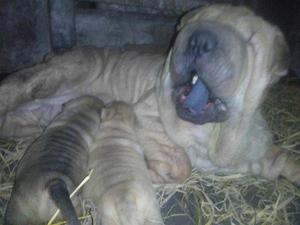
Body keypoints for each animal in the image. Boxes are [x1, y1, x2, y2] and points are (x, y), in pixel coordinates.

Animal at [1, 3, 298, 225]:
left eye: (249, 39)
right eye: (194, 23)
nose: (200, 39)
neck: (215, 134)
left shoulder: (250, 152)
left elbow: (281, 158)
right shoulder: (147, 114)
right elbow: (181, 164)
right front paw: (154, 172)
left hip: (32, 120)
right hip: (62, 72)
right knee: (16, 86)